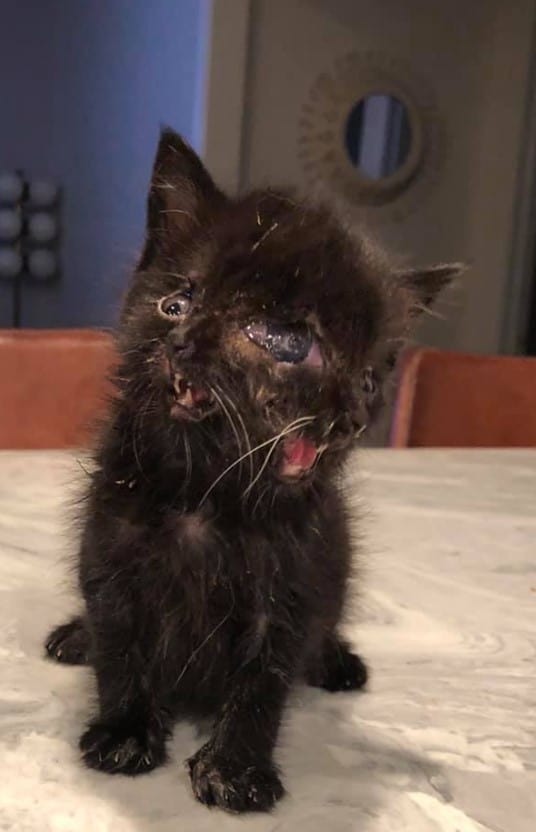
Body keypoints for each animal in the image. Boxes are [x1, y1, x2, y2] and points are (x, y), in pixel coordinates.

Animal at [46, 130, 458, 812]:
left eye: (370, 377)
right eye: (176, 301)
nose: (185, 337)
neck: (206, 497)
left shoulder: (292, 585)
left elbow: (264, 682)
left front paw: (235, 768)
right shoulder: (110, 549)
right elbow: (121, 645)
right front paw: (125, 729)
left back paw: (335, 660)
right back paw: (76, 636)